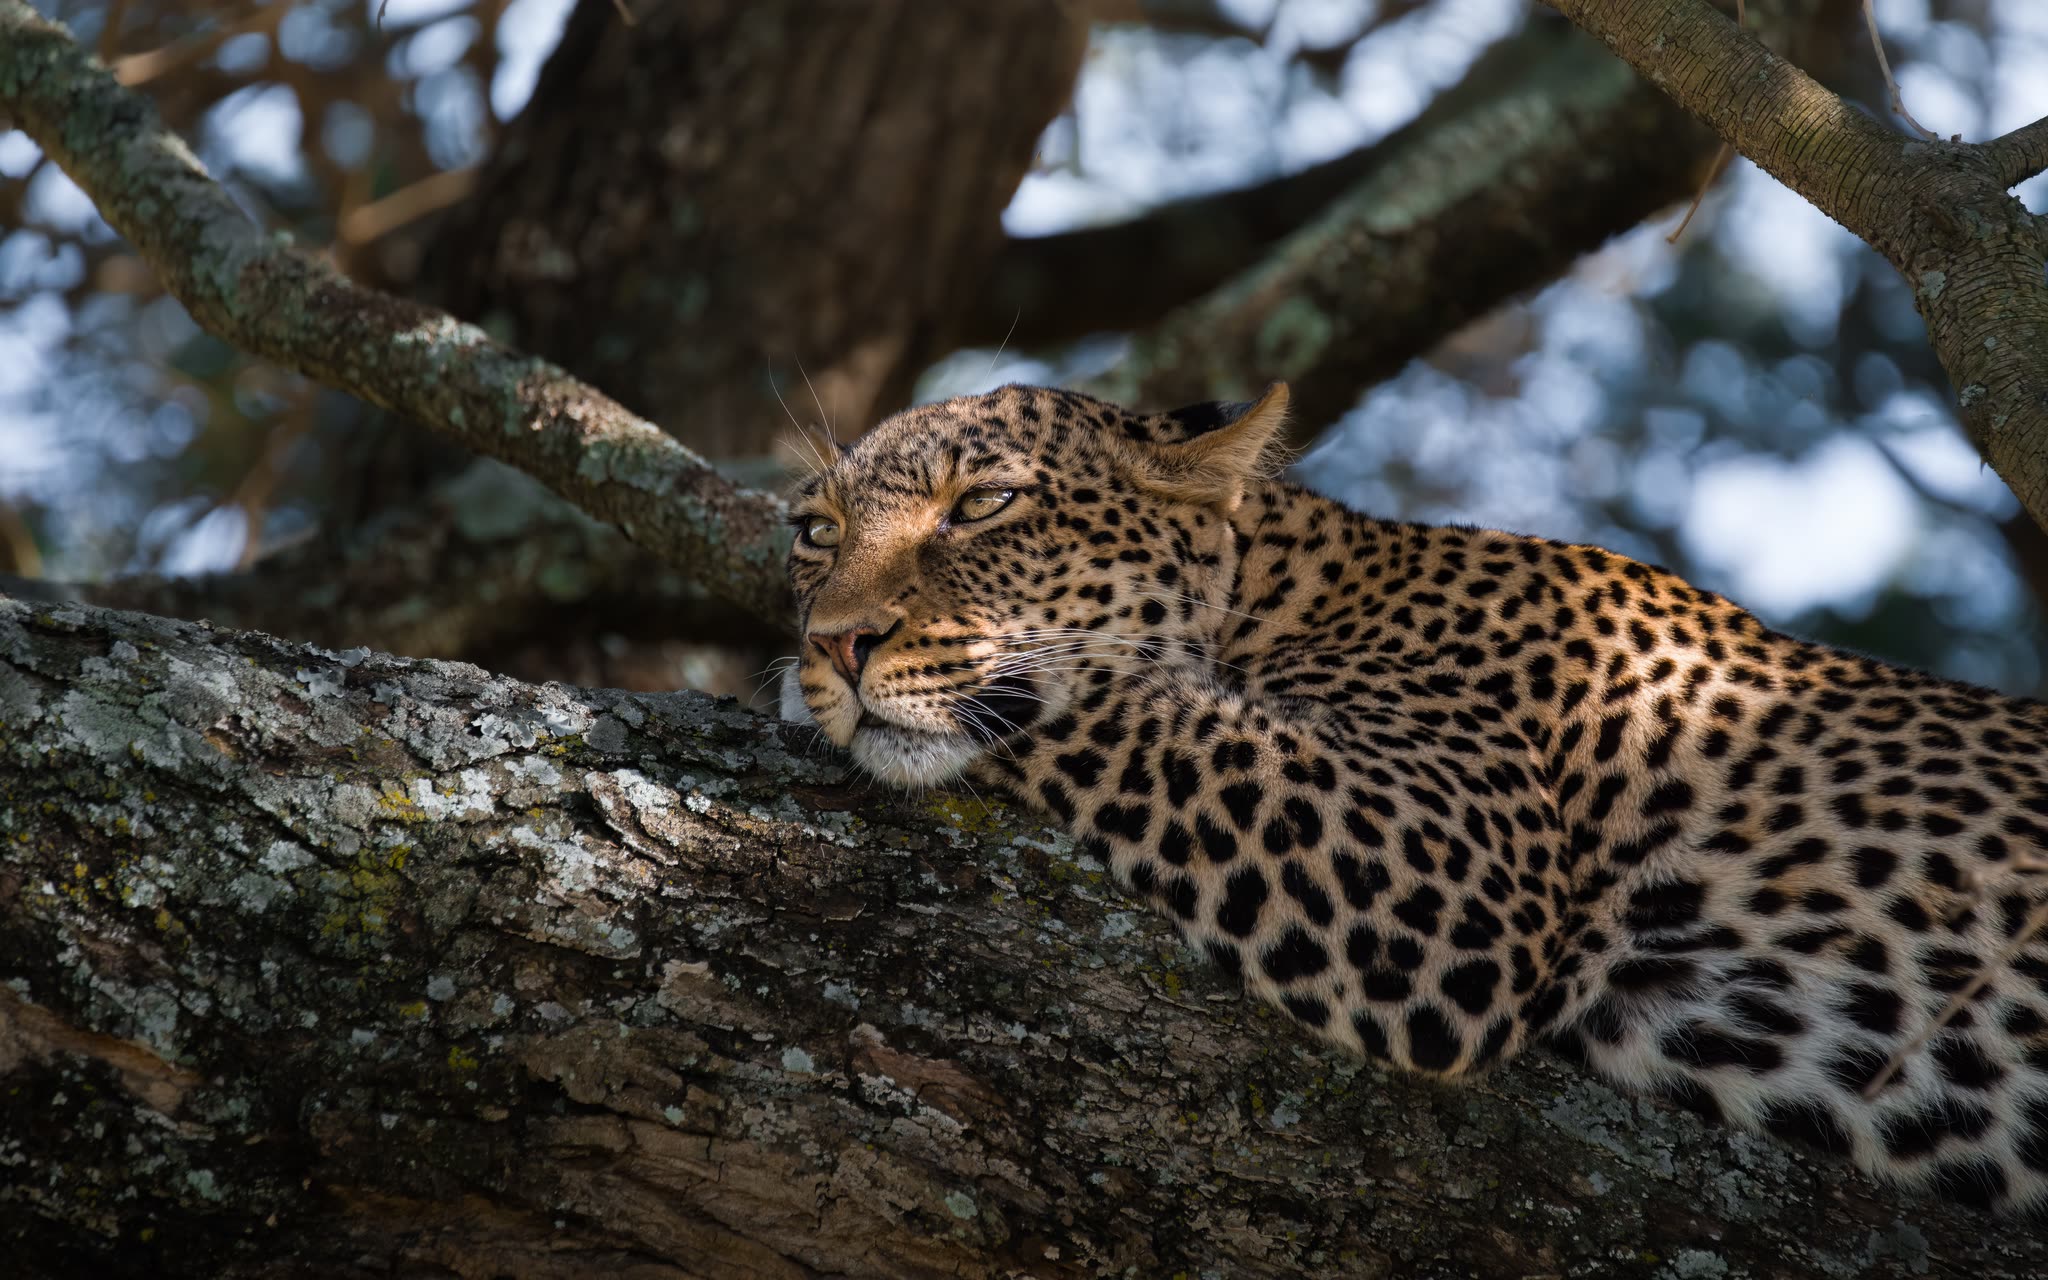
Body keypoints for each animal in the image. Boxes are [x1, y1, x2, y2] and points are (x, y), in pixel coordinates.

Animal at [779, 381, 2048, 1214]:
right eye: (813, 531)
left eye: (985, 503)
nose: (833, 642)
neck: (1289, 587)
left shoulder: (1443, 856)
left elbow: (1116, 695)